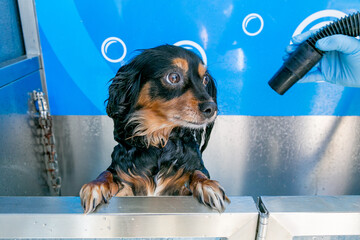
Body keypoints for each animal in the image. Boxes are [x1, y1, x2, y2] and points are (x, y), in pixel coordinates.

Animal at [80, 44, 229, 213]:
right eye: (173, 77)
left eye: (205, 79)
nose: (212, 108)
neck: (159, 141)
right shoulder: (125, 183)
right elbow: (106, 173)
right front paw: (95, 186)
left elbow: (197, 172)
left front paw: (208, 185)